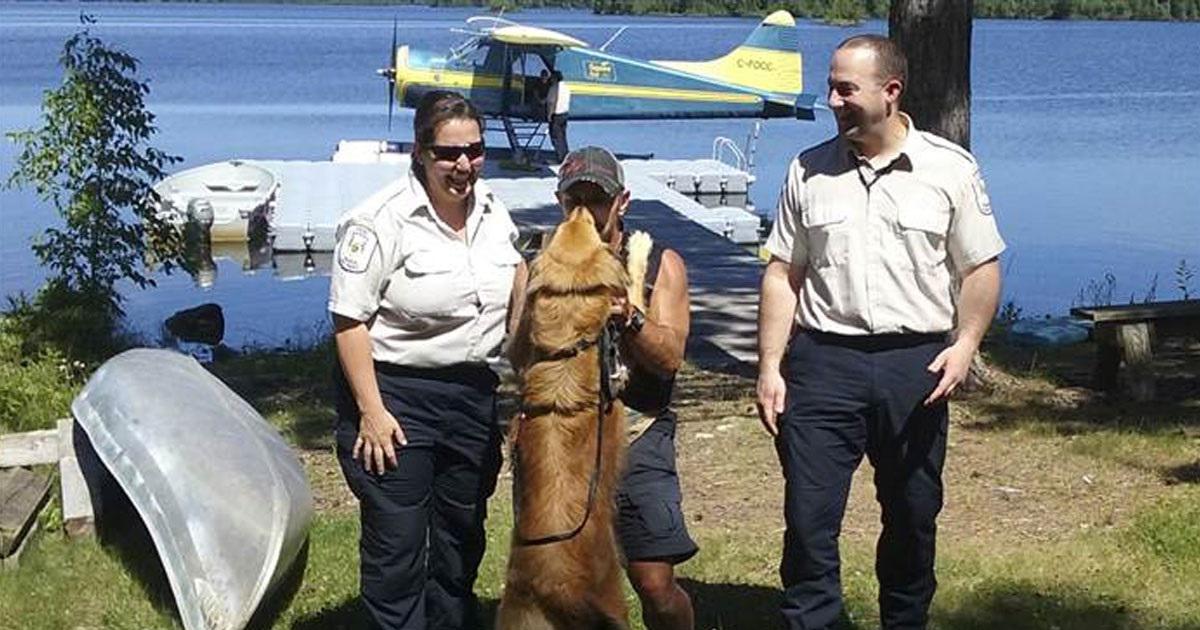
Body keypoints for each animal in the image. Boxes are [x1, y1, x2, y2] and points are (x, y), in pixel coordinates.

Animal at [492, 207, 652, 628]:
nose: (578, 209)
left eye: (566, 225)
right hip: (616, 603)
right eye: (587, 228)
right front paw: (640, 248)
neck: (568, 342)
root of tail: (551, 586)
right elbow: (634, 292)